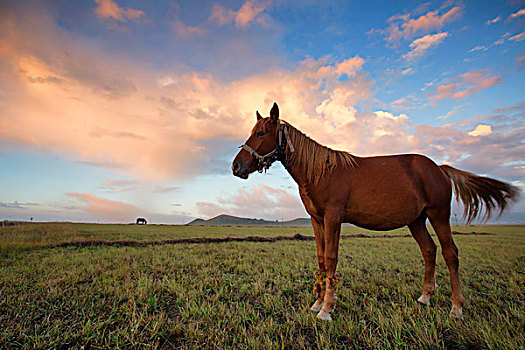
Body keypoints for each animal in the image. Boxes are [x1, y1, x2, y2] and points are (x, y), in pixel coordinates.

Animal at [231, 102, 516, 322]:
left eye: (261, 133)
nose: (236, 167)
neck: (321, 171)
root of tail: (439, 168)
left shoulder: (333, 218)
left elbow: (331, 259)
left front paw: (327, 309)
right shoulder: (317, 220)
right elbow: (321, 259)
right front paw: (317, 303)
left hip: (438, 214)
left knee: (450, 253)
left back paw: (457, 309)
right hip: (416, 220)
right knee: (429, 250)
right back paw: (425, 297)